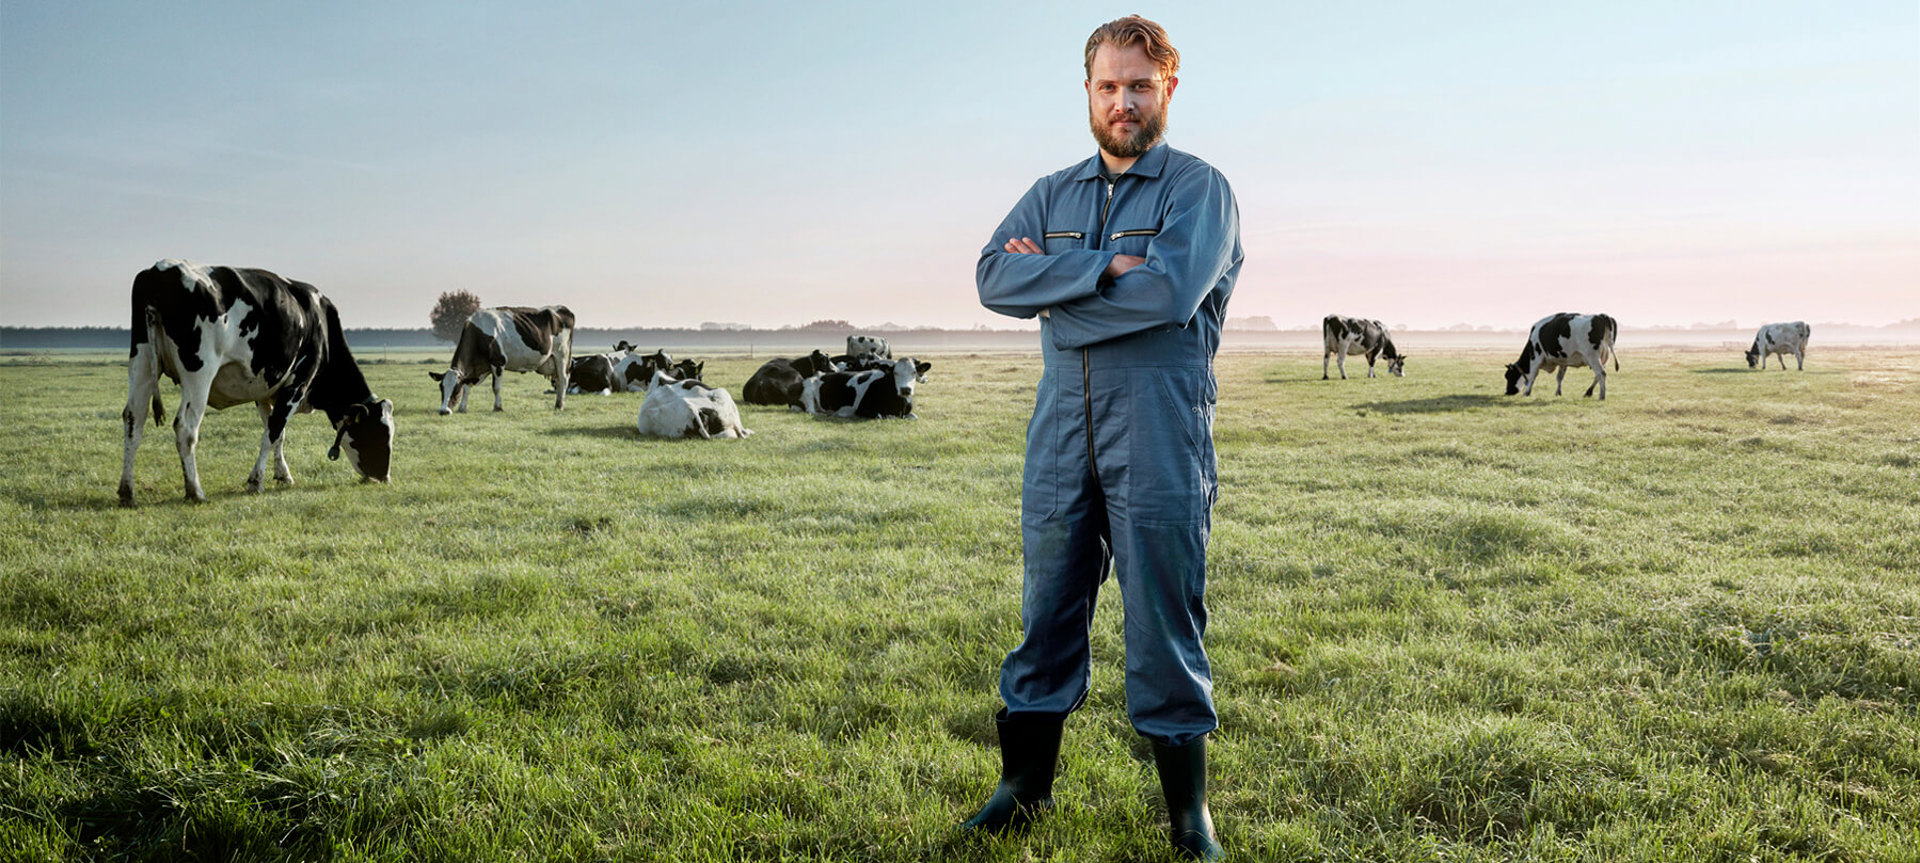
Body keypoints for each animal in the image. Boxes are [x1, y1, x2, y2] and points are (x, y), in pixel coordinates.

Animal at [116, 259, 393, 507]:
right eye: (381, 434)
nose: (384, 477)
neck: (322, 326)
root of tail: (161, 269)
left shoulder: (265, 390)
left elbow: (276, 432)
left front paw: (283, 476)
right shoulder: (298, 382)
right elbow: (272, 432)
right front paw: (255, 482)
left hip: (141, 362)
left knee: (133, 420)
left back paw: (127, 492)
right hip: (199, 373)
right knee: (185, 427)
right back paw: (195, 491)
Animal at [422, 303, 564, 415]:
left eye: (456, 389)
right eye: (441, 387)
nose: (443, 411)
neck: (478, 333)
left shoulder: (498, 362)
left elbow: (496, 388)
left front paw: (498, 408)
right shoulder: (476, 368)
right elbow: (468, 385)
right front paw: (462, 408)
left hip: (561, 355)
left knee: (563, 379)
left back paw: (560, 405)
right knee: (558, 380)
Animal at [798, 355, 933, 419]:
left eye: (914, 372)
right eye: (895, 373)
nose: (905, 389)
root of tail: (819, 374)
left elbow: (914, 417)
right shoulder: (864, 411)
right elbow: (884, 416)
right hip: (808, 391)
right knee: (812, 411)